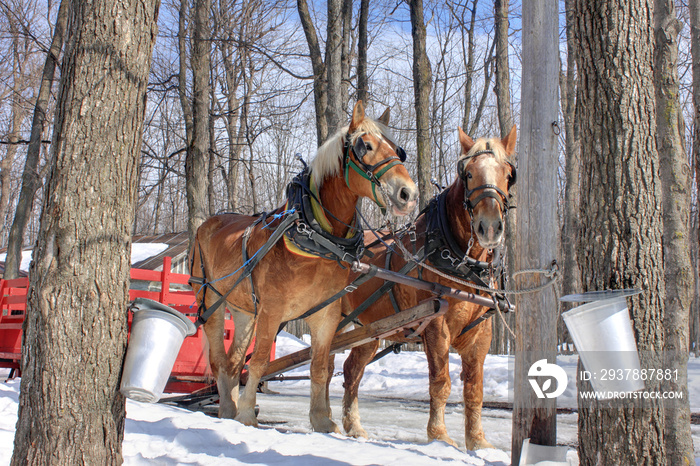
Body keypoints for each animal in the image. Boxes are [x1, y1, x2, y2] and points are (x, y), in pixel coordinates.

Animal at [190, 101, 416, 434]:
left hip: (245, 311)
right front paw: (247, 415)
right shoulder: (272, 310)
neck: (316, 238)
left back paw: (229, 407)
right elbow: (260, 361)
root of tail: (208, 223)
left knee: (233, 362)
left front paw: (322, 419)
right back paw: (230, 409)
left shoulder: (326, 315)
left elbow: (320, 366)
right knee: (220, 359)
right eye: (366, 146)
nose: (408, 193)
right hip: (211, 301)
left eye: (397, 148)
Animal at [342, 125, 516, 450]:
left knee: (352, 371)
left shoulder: (481, 332)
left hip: (368, 329)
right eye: (468, 174)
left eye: (508, 174)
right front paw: (439, 436)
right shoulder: (436, 325)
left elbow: (474, 389)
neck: (461, 263)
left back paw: (352, 426)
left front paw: (478, 442)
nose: (489, 227)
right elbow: (441, 383)